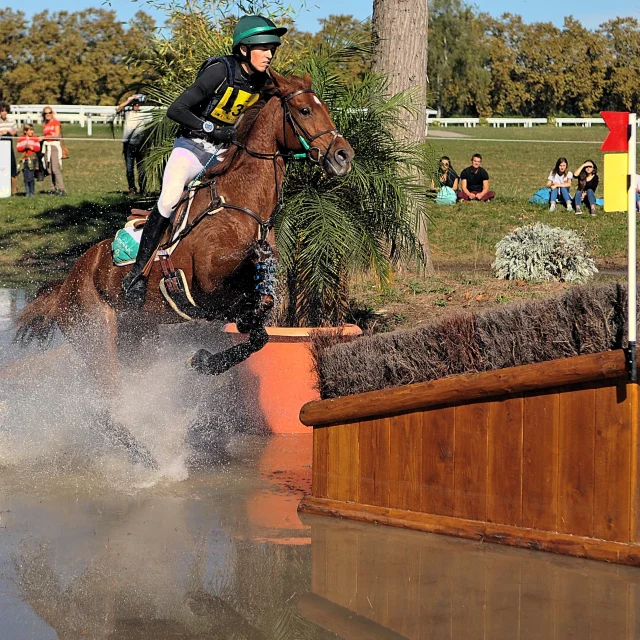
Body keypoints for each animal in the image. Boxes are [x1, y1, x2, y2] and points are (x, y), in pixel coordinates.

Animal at [13, 72, 356, 468]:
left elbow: (259, 331)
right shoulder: (207, 286)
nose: (343, 155)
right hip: (97, 337)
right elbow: (245, 308)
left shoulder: (234, 301)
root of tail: (66, 283)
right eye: (303, 110)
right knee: (106, 405)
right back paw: (147, 457)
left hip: (138, 339)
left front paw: (205, 361)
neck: (241, 205)